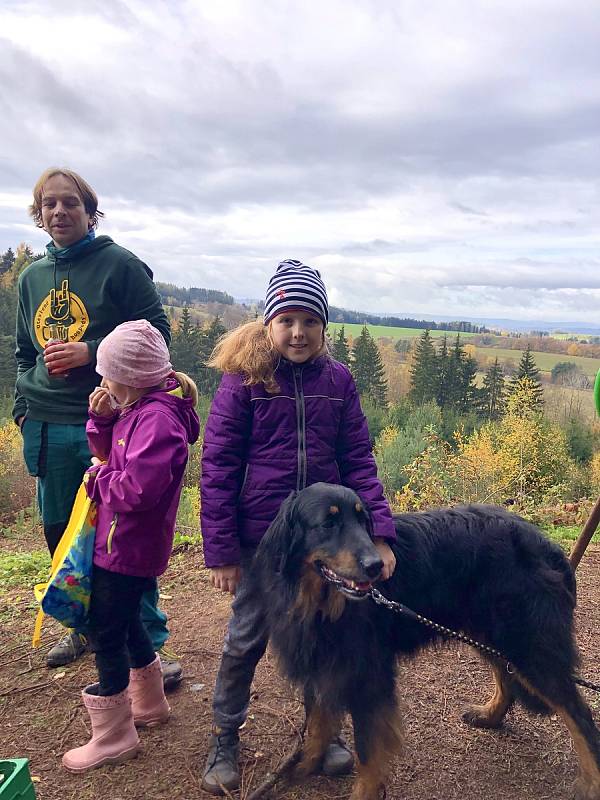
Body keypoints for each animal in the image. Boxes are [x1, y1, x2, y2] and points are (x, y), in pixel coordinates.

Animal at [252, 482, 600, 800]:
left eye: (363, 522)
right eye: (328, 523)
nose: (376, 566)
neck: (320, 603)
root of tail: (546, 545)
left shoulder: (368, 675)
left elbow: (367, 749)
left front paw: (364, 791)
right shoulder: (321, 662)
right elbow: (317, 724)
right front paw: (301, 770)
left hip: (527, 644)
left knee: (578, 713)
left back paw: (591, 782)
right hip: (489, 633)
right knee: (507, 678)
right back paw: (489, 716)